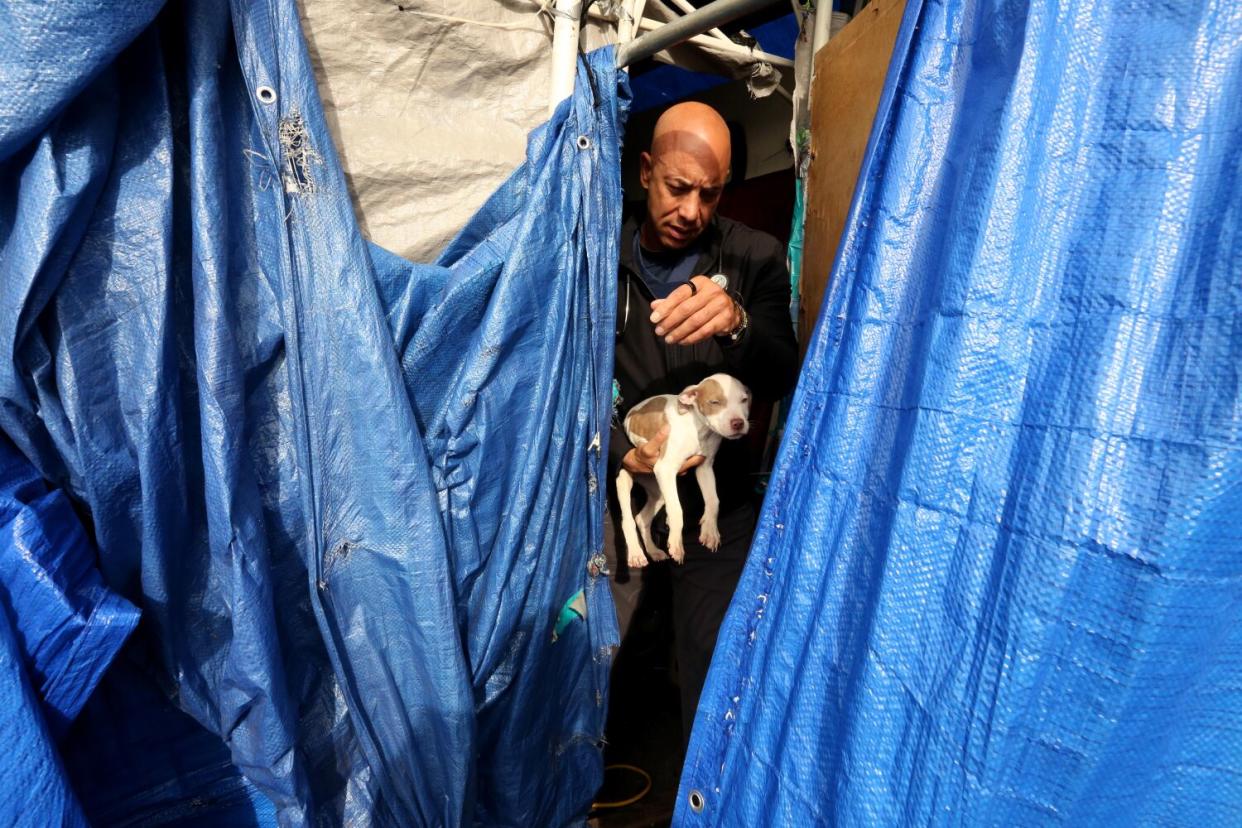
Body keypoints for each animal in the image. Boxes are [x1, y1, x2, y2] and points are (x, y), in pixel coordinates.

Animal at [616, 372, 750, 566]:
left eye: (744, 400)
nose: (738, 423)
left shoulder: (704, 467)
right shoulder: (665, 469)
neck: (698, 429)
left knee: (642, 518)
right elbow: (676, 510)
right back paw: (636, 554)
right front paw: (676, 544)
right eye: (714, 402)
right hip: (626, 478)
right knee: (628, 520)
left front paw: (710, 531)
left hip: (658, 491)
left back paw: (653, 551)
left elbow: (713, 500)